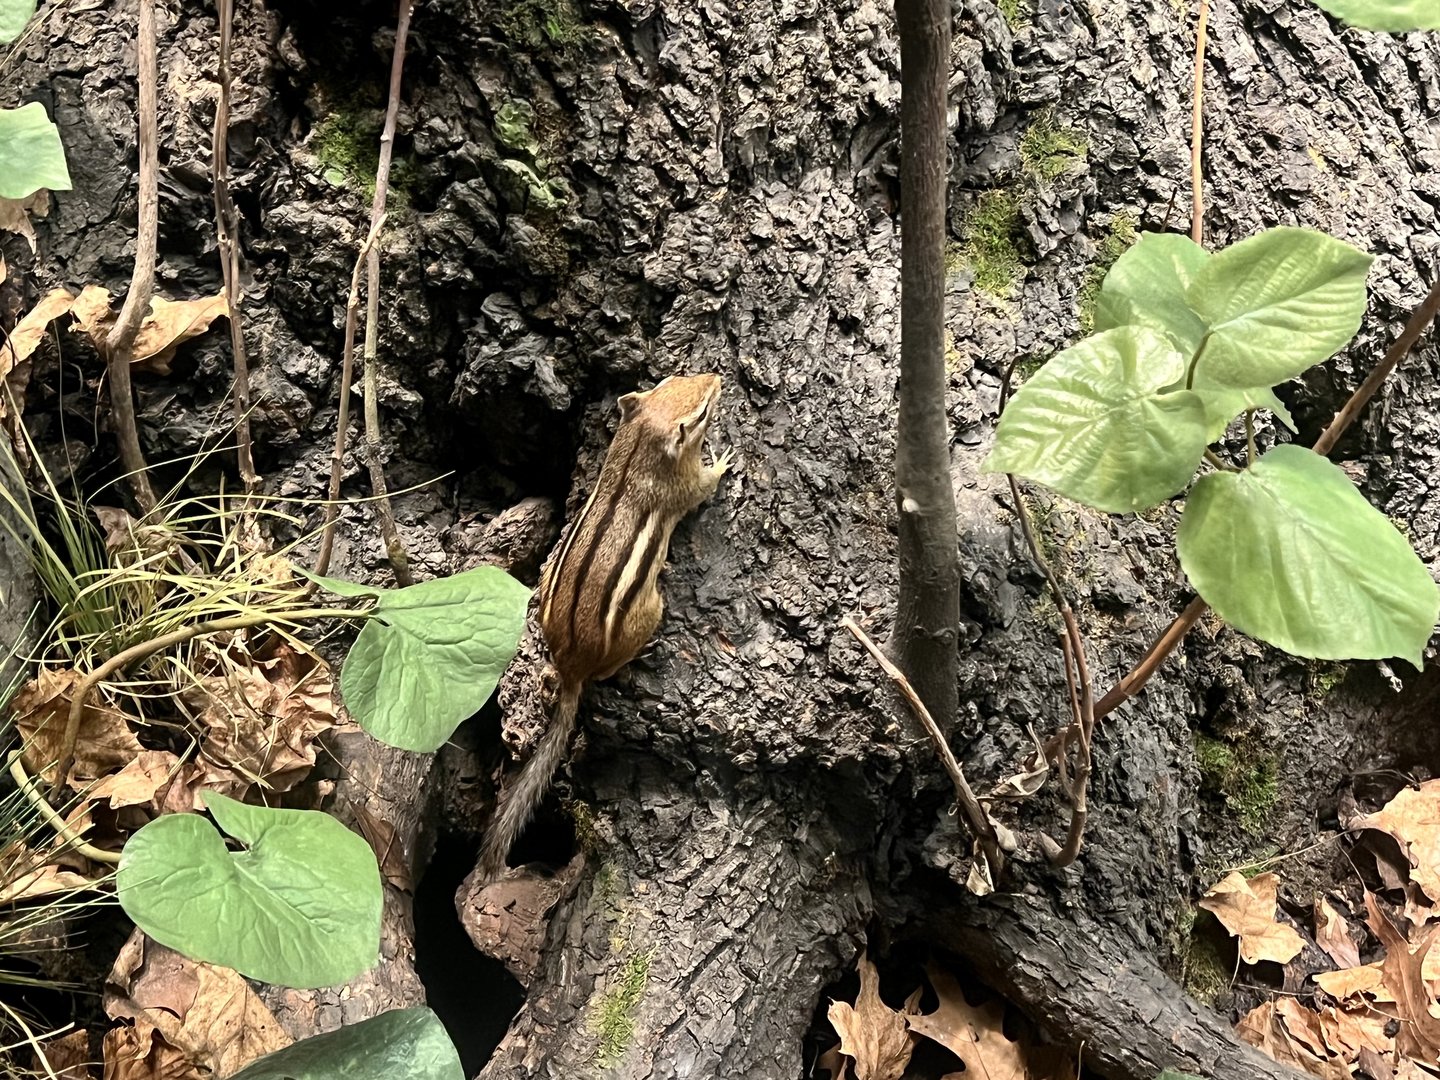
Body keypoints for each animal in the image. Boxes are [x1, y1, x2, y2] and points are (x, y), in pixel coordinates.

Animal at [478, 373, 732, 879]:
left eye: (674, 378)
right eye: (699, 413)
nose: (717, 377)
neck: (634, 452)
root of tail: (571, 664)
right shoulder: (685, 487)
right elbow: (705, 486)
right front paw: (727, 460)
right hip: (649, 611)